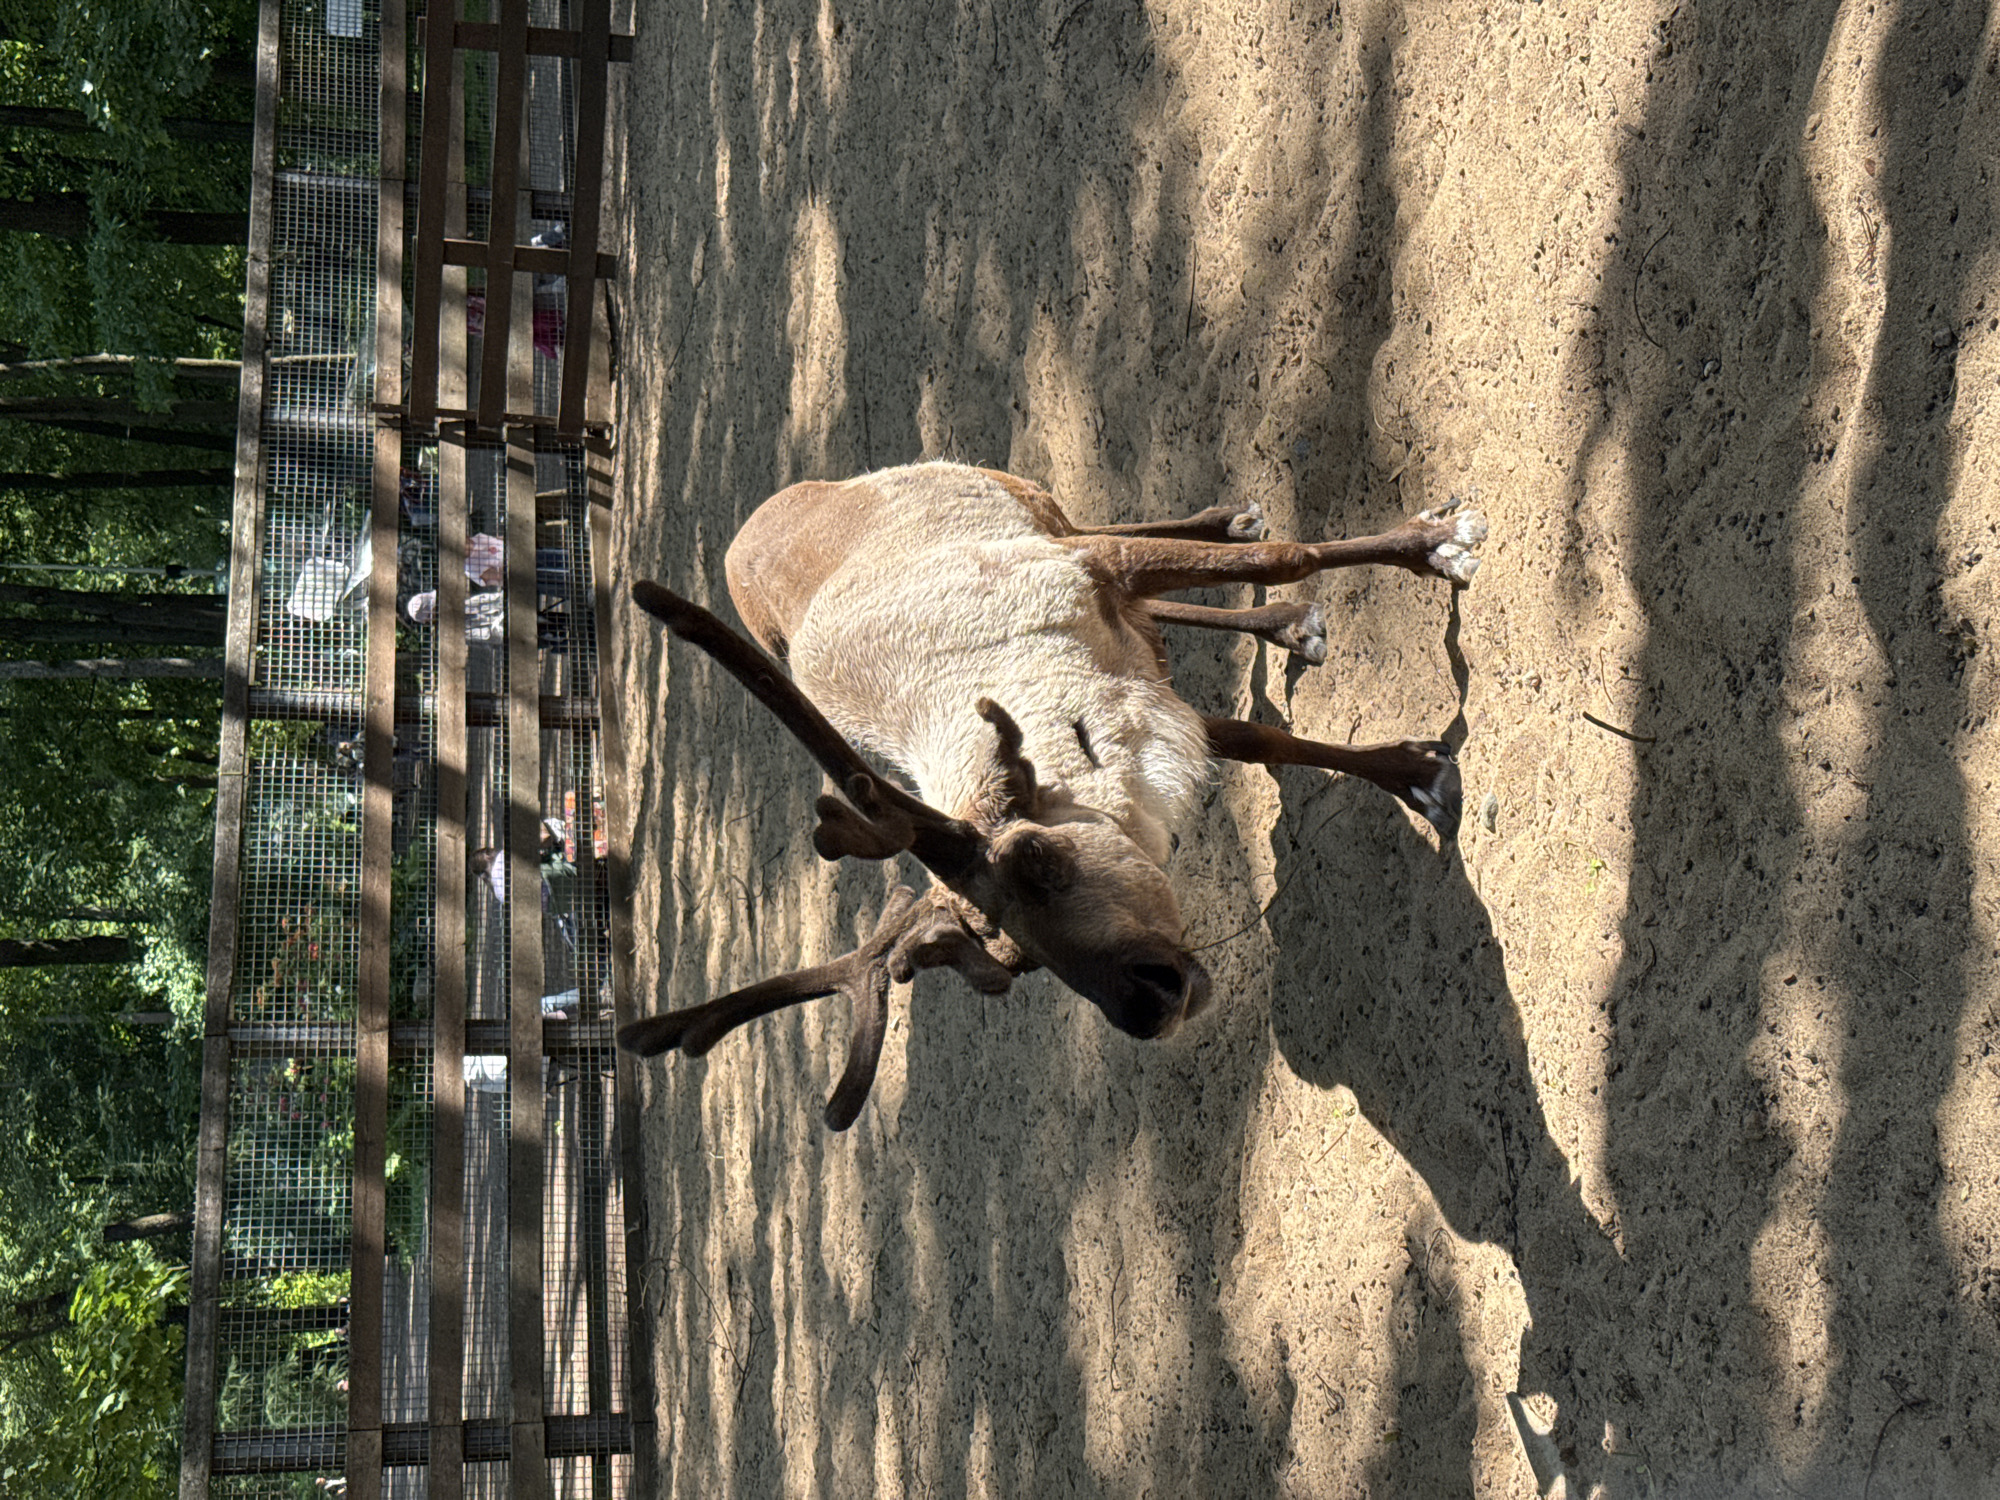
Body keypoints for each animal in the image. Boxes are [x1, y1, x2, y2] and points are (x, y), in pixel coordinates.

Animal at [619, 462, 1486, 1128]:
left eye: (1037, 858)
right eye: (1015, 962)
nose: (1148, 1006)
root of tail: (749, 527)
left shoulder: (1096, 581)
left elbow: (1288, 555)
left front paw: (1436, 543)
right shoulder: (1134, 689)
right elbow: (1254, 740)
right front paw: (1413, 772)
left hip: (1034, 505)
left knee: (1121, 534)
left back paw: (1240, 533)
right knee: (1154, 608)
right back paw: (1278, 615)